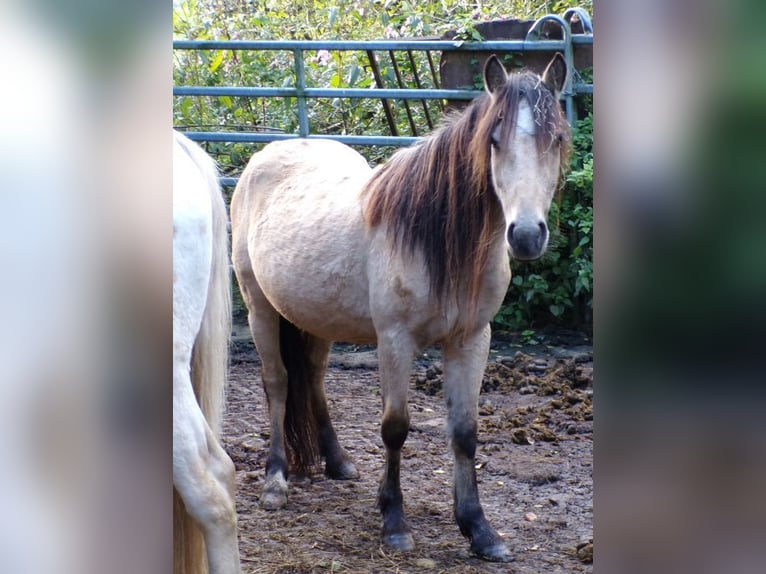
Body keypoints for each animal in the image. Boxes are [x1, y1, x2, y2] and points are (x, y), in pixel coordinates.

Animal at [230, 53, 571, 562]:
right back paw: (275, 481)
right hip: (260, 309)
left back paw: (338, 462)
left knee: (312, 378)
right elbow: (395, 427)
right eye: (494, 139)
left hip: (317, 318)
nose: (526, 236)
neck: (439, 240)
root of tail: (265, 157)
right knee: (278, 383)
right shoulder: (395, 340)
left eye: (557, 139)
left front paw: (479, 529)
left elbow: (465, 432)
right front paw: (394, 523)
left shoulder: (472, 340)